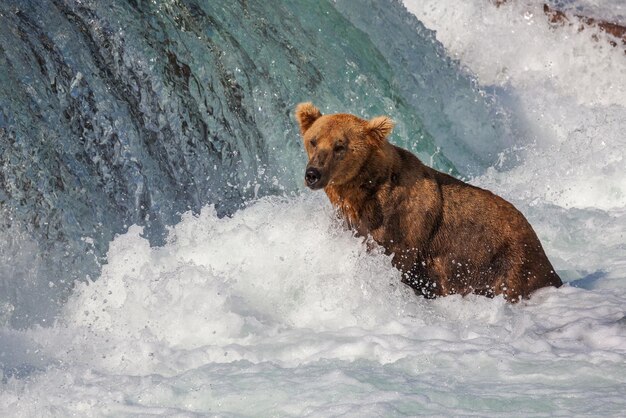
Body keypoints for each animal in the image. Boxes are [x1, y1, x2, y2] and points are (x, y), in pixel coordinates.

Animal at [294, 103, 560, 302]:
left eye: (340, 145)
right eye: (314, 140)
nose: (313, 173)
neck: (363, 193)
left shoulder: (401, 227)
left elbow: (395, 258)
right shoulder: (350, 222)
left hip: (507, 263)